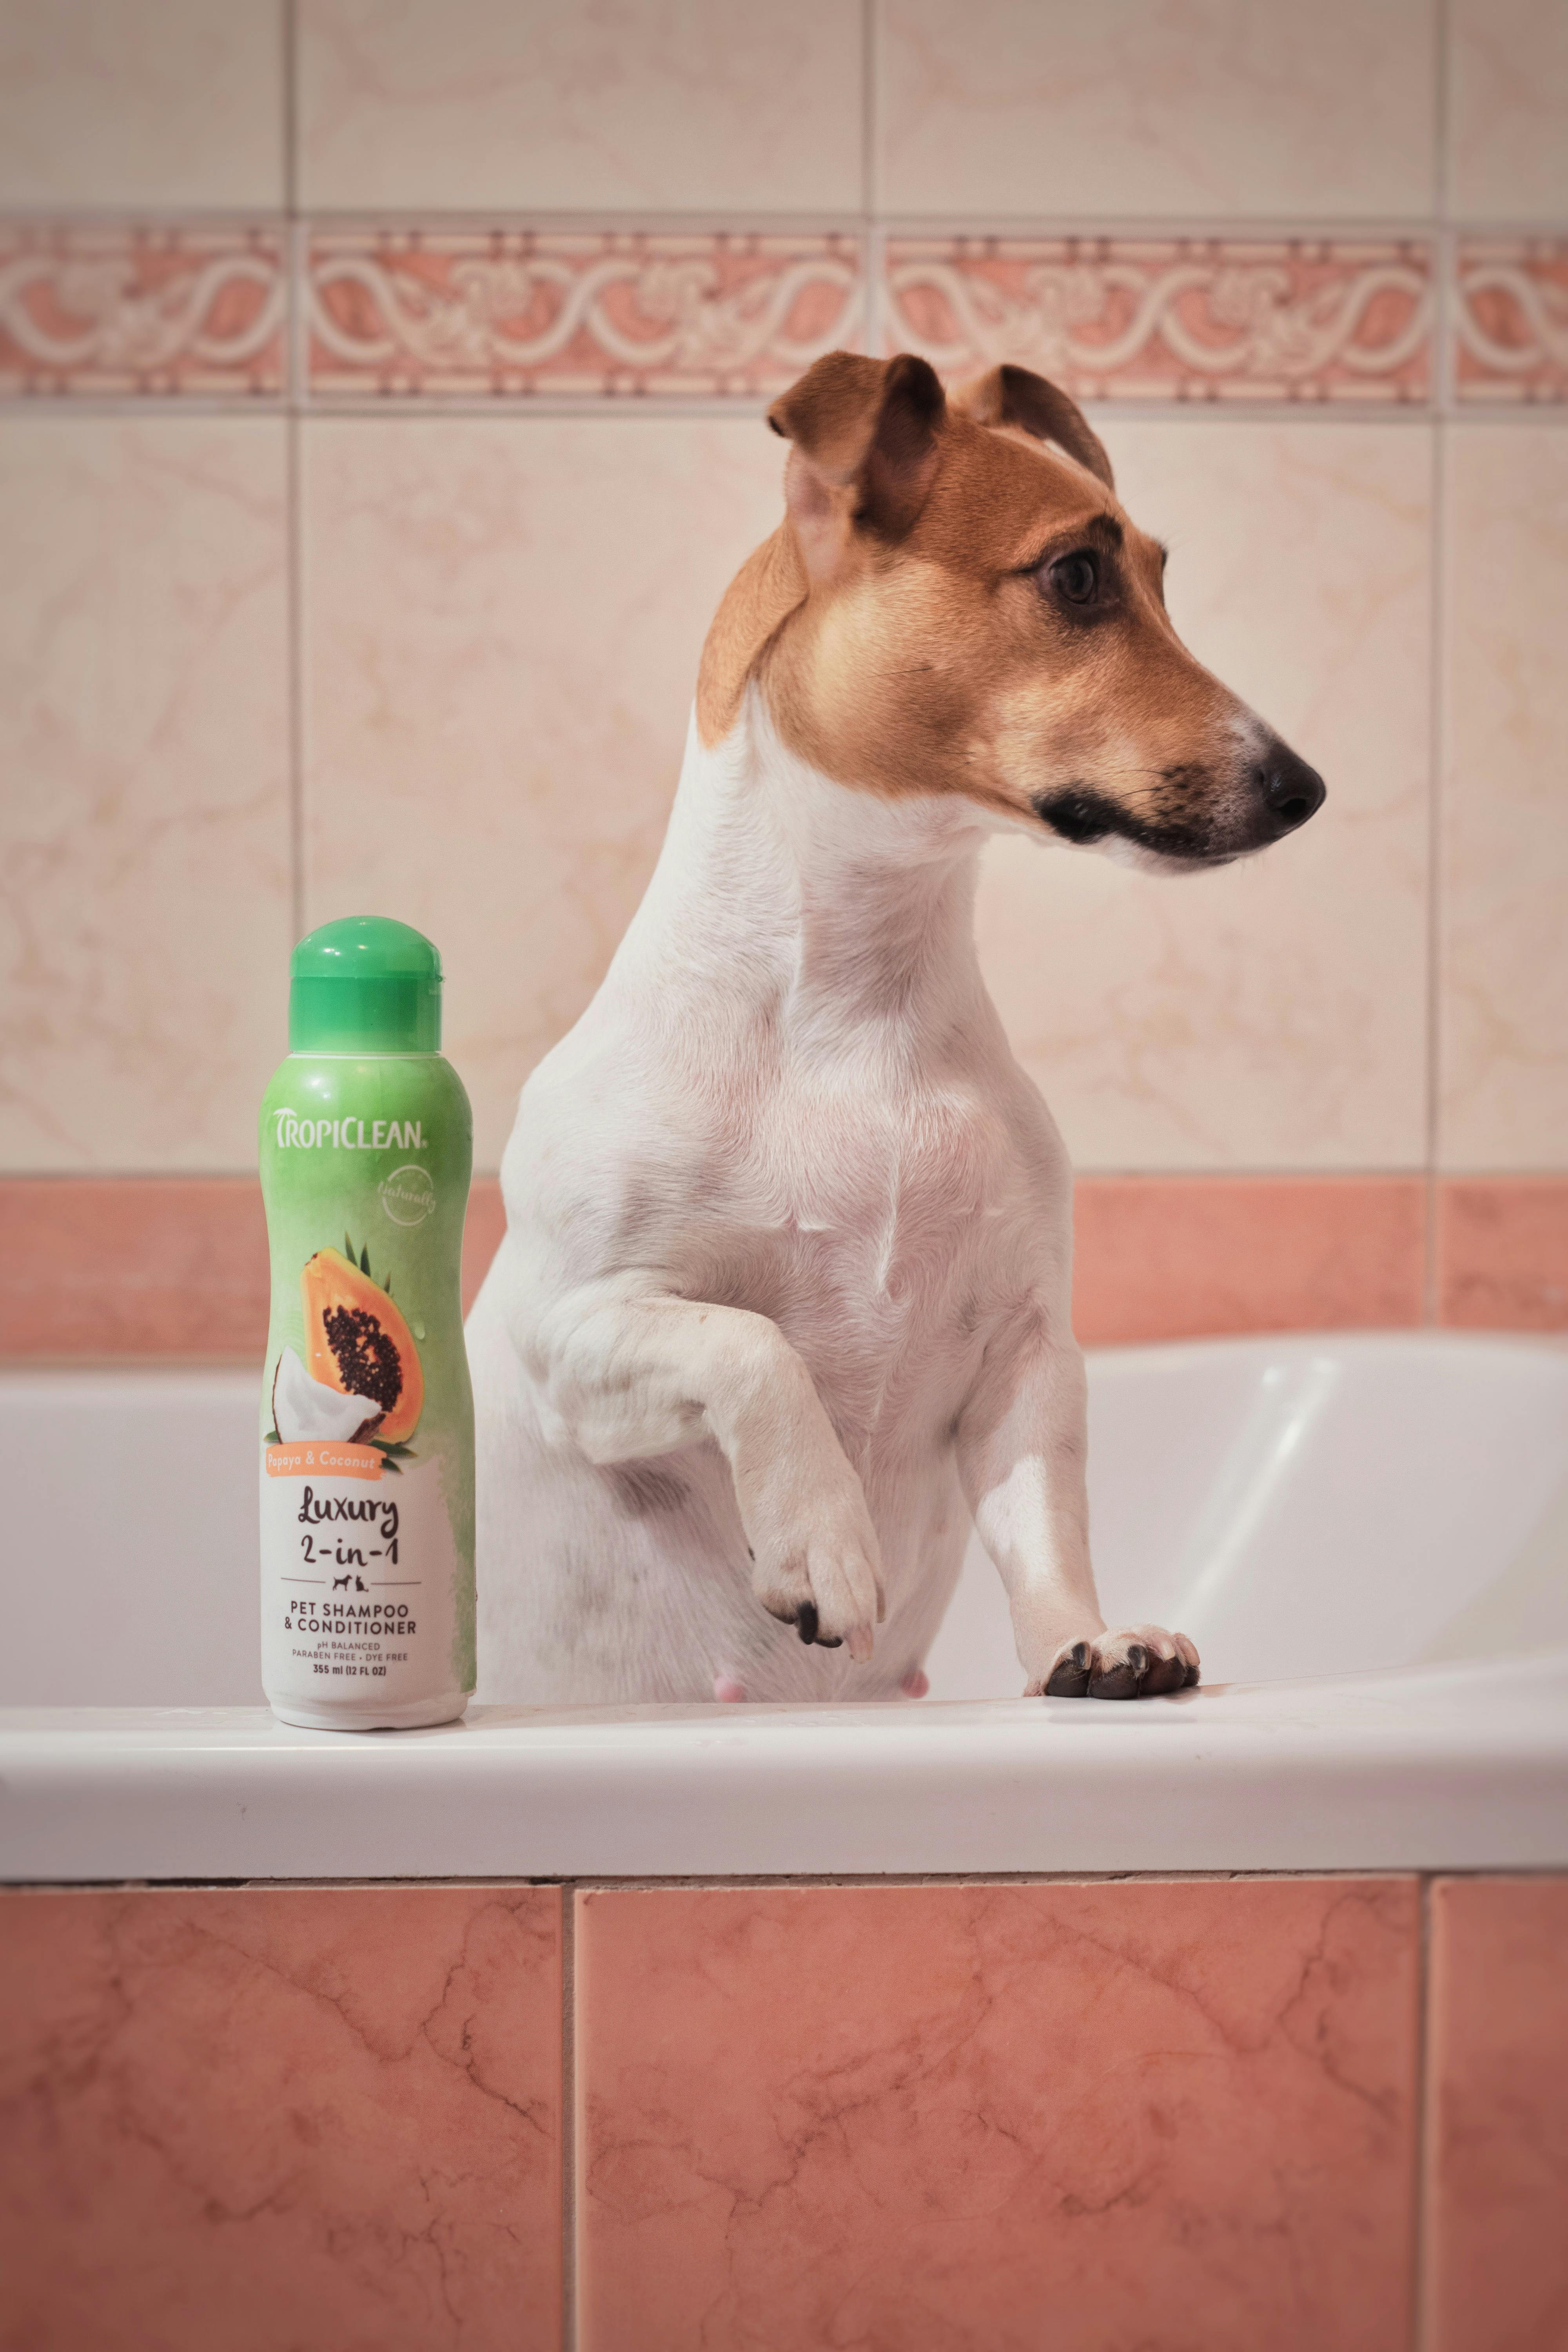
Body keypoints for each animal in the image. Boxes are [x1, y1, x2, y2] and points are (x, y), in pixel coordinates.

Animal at [465, 353, 1326, 1712]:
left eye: (1160, 576)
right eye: (1076, 577)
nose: (1306, 789)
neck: (856, 1007)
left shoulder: (1026, 1355)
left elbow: (1049, 1526)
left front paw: (1090, 1643)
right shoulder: (571, 1327)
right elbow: (754, 1343)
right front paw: (823, 1539)